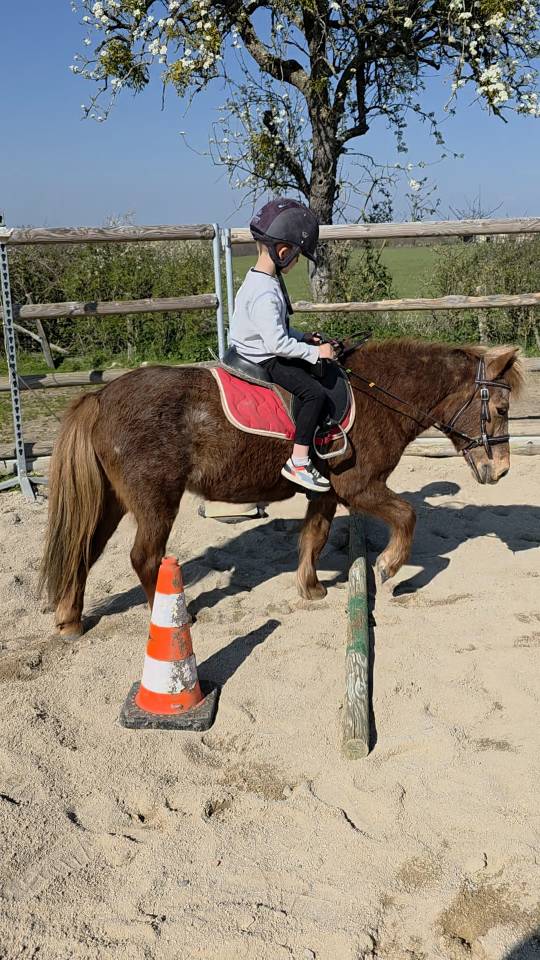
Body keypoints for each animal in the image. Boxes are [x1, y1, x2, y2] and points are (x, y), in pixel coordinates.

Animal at [40, 339, 522, 638]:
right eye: (500, 408)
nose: (500, 471)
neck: (375, 397)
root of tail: (100, 397)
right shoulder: (360, 487)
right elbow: (407, 514)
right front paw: (387, 566)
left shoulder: (327, 492)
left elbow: (314, 536)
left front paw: (310, 589)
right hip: (156, 500)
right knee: (145, 558)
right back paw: (177, 616)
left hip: (113, 502)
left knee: (83, 551)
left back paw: (69, 620)